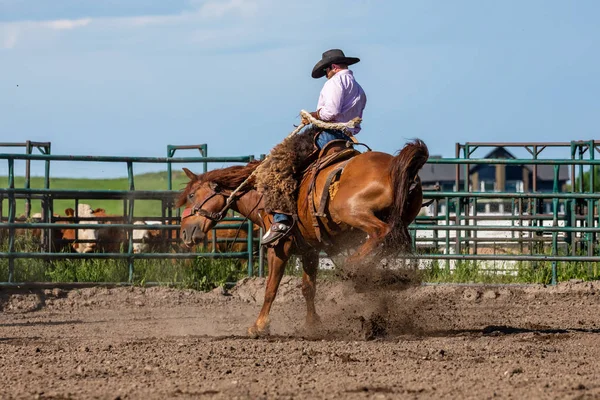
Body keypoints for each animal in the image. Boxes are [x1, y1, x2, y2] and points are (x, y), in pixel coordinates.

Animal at [176, 139, 428, 336]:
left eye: (192, 195)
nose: (184, 232)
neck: (262, 194)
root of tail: (396, 166)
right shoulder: (310, 250)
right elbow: (308, 288)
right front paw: (312, 324)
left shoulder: (278, 247)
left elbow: (271, 288)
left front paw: (259, 326)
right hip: (400, 220)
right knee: (392, 241)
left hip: (352, 211)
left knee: (380, 233)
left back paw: (353, 268)